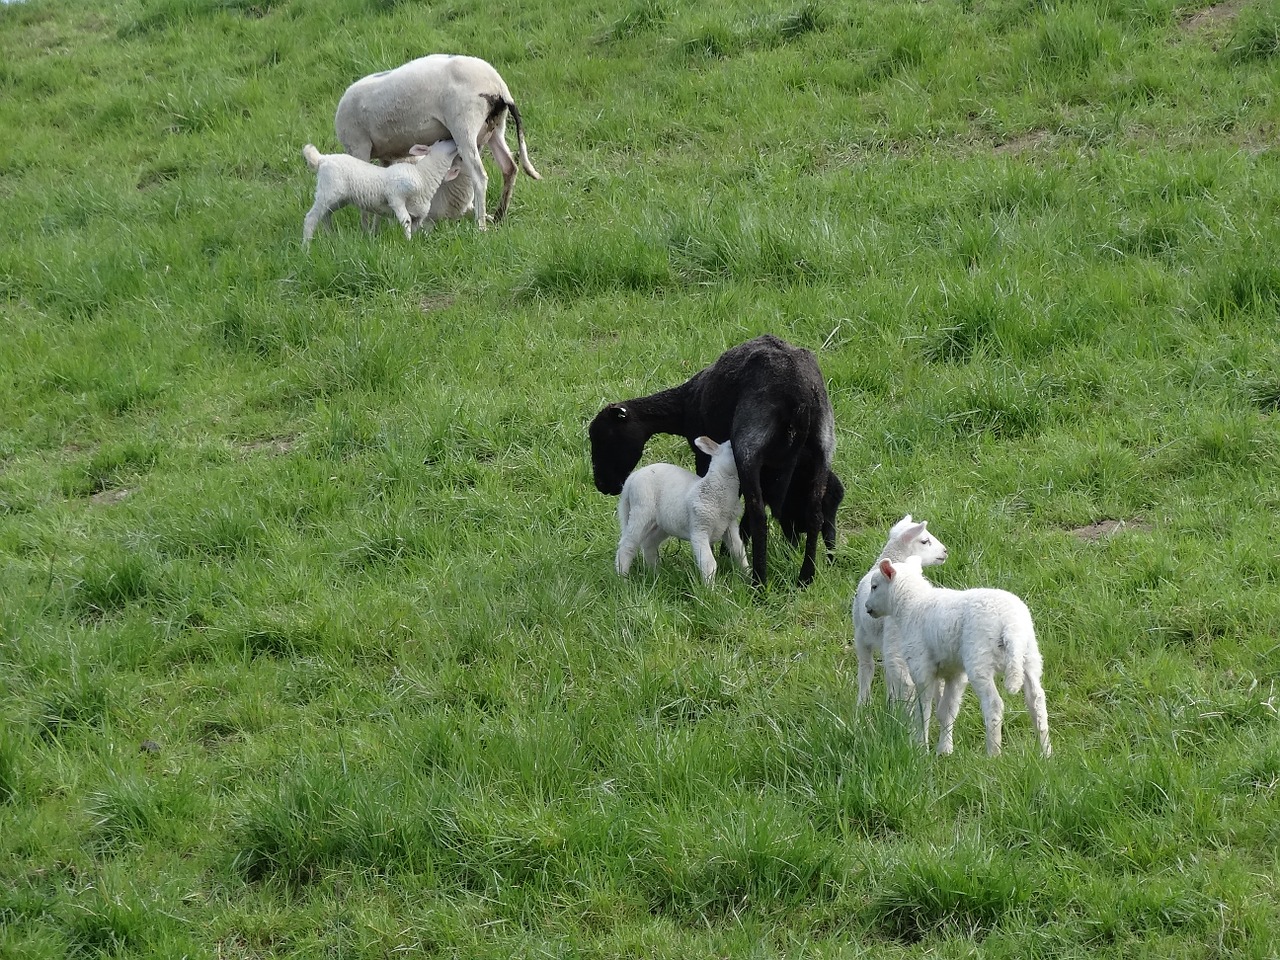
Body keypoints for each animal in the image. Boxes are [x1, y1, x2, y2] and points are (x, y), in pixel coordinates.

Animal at [302, 138, 463, 244]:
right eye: (441, 140)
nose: (453, 139)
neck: (422, 175)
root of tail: (322, 159)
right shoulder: (395, 196)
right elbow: (405, 221)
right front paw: (408, 245)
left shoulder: (419, 214)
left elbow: (414, 226)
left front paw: (414, 243)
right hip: (327, 192)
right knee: (311, 218)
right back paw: (306, 248)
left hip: (339, 198)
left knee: (325, 215)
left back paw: (331, 237)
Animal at [611, 437, 747, 586]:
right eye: (731, 447)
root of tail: (632, 477)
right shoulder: (699, 528)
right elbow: (708, 563)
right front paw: (710, 588)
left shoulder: (730, 525)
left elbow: (739, 552)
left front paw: (748, 577)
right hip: (641, 509)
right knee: (626, 547)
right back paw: (623, 581)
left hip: (662, 523)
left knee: (649, 544)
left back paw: (656, 576)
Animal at [849, 519, 952, 706]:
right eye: (925, 541)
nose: (945, 551)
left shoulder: (861, 633)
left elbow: (866, 667)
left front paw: (862, 704)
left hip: (895, 642)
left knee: (906, 682)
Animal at [860, 555, 1049, 757]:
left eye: (874, 586)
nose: (867, 607)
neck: (912, 605)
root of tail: (1011, 625)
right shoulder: (954, 672)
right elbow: (946, 710)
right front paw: (944, 750)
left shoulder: (921, 666)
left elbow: (923, 710)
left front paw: (921, 747)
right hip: (1030, 654)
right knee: (1036, 700)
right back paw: (1045, 752)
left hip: (979, 657)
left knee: (994, 704)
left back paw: (993, 754)